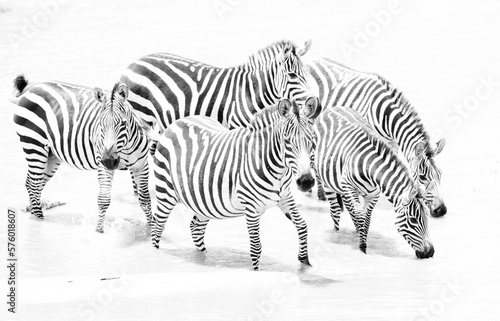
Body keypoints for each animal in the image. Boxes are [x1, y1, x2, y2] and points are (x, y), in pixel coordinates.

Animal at [11, 75, 152, 231]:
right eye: (100, 123)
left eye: (123, 123)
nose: (109, 161)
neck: (125, 148)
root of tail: (29, 88)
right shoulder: (103, 165)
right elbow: (104, 199)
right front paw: (99, 231)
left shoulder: (141, 166)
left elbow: (145, 199)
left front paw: (150, 229)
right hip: (34, 144)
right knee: (34, 185)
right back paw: (40, 219)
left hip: (51, 155)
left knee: (32, 183)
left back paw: (34, 214)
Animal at [121, 39, 314, 136]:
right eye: (292, 75)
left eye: (306, 72)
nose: (314, 102)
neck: (251, 92)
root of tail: (132, 64)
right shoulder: (236, 127)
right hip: (143, 117)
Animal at [150, 96, 320, 268]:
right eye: (287, 142)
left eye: (312, 140)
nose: (306, 181)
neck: (277, 171)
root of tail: (176, 122)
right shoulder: (251, 206)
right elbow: (256, 248)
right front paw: (256, 269)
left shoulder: (285, 196)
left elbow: (302, 226)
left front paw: (304, 262)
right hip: (165, 191)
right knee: (158, 228)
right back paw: (155, 255)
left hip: (203, 202)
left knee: (195, 227)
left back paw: (203, 257)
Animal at [306, 57, 448, 219]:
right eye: (423, 177)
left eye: (440, 175)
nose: (442, 210)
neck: (386, 114)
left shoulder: (392, 143)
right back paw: (320, 193)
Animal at [314, 107, 436, 258]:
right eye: (412, 220)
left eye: (427, 216)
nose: (430, 252)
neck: (369, 168)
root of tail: (333, 108)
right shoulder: (349, 187)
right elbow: (361, 217)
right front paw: (362, 248)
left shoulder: (373, 195)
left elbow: (366, 220)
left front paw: (363, 241)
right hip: (327, 181)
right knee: (335, 211)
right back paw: (337, 233)